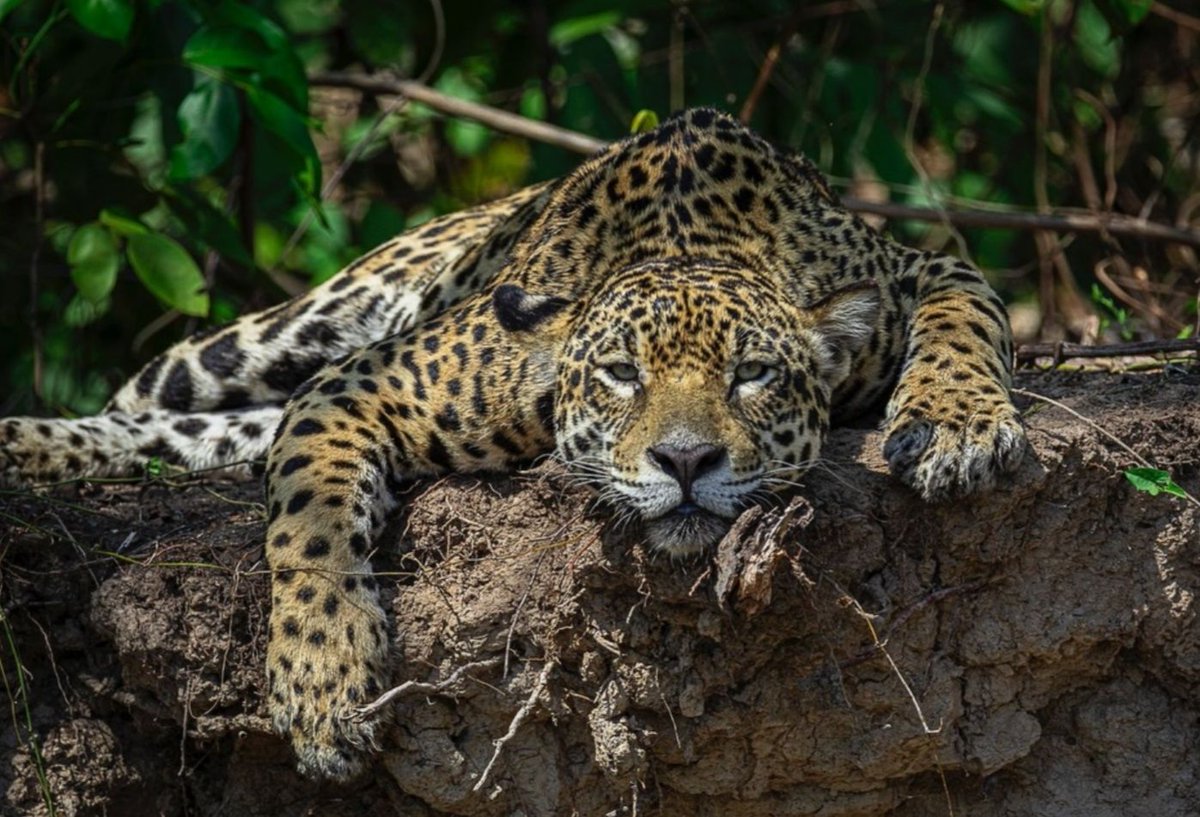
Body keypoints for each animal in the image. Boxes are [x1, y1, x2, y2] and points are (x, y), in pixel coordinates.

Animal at [0, 108, 1026, 781]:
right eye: (620, 372)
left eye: (753, 375)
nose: (686, 462)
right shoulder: (362, 382)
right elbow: (312, 521)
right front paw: (324, 681)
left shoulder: (920, 267)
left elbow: (964, 319)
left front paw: (960, 421)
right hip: (282, 334)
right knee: (153, 397)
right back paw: (30, 441)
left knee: (207, 434)